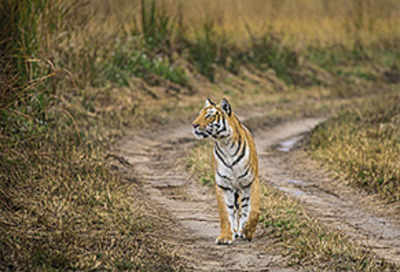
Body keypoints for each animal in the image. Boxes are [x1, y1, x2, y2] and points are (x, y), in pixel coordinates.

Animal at [192, 98, 260, 244]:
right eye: (199, 114)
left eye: (209, 115)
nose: (194, 125)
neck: (225, 144)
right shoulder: (223, 185)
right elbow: (225, 213)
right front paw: (225, 236)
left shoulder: (251, 182)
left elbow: (253, 210)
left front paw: (248, 231)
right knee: (235, 210)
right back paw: (235, 231)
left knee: (244, 208)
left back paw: (242, 230)